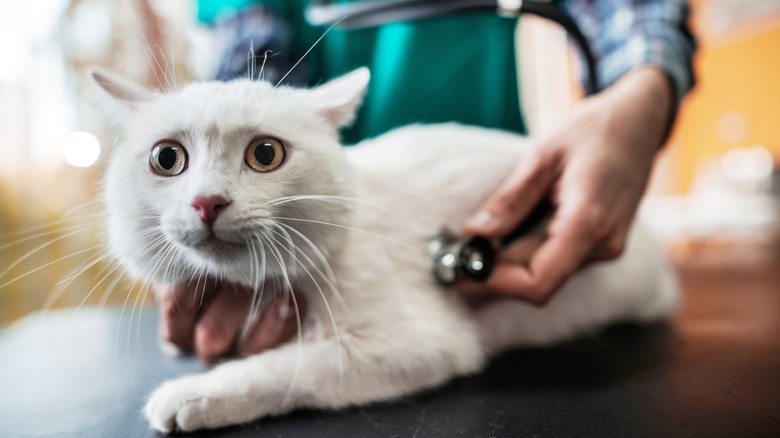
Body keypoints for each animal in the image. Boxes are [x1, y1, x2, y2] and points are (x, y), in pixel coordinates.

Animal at [93, 67, 676, 432]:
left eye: (265, 154)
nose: (207, 202)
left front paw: (193, 396)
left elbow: (290, 367)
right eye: (167, 158)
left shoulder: (417, 341)